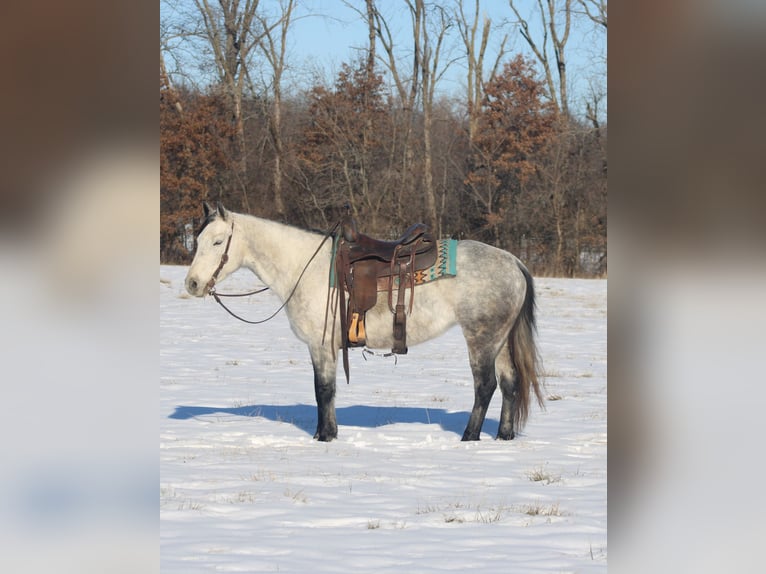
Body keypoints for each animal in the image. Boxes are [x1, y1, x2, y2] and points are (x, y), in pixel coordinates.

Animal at [186, 204, 544, 446]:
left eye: (218, 242)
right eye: (198, 240)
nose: (192, 284)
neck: (306, 267)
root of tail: (513, 261)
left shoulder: (321, 346)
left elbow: (323, 390)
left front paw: (325, 437)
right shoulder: (320, 349)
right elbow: (321, 390)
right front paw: (324, 433)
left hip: (481, 338)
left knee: (485, 386)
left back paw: (469, 437)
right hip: (500, 341)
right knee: (510, 383)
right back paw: (504, 436)